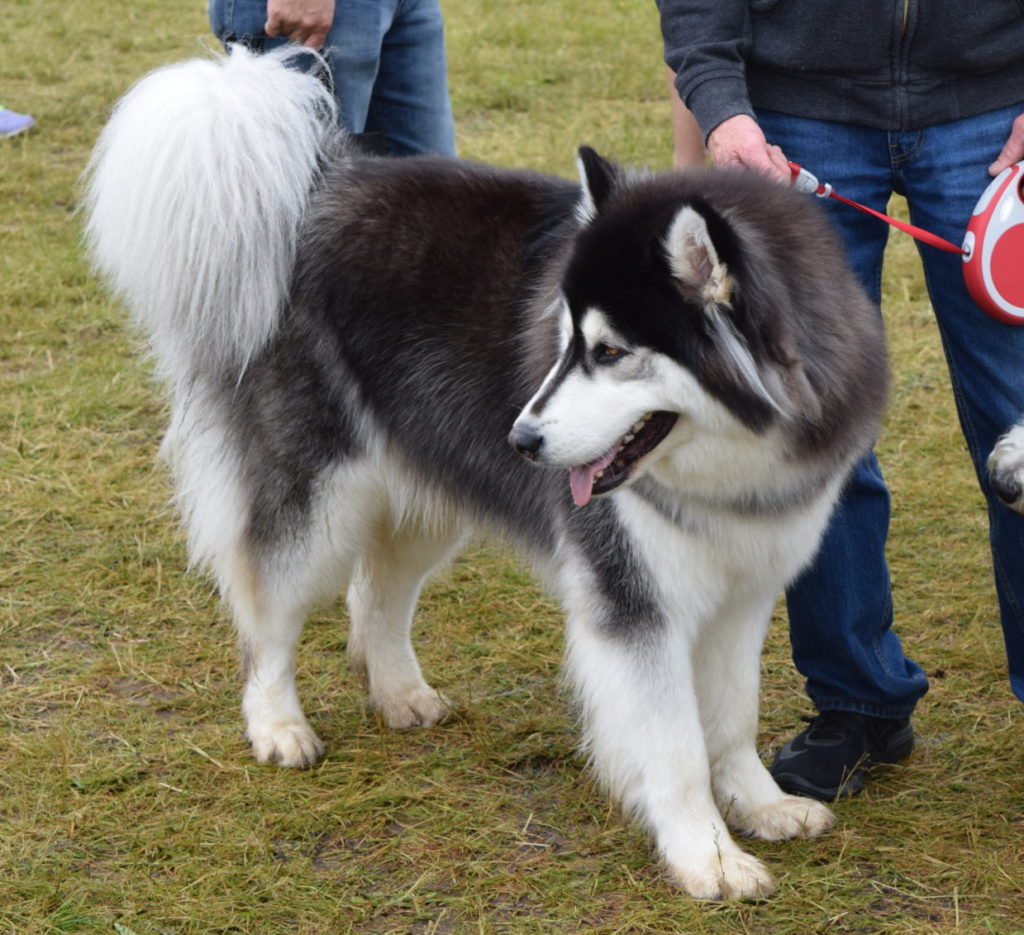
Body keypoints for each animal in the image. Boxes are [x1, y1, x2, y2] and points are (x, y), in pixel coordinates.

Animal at [83, 45, 888, 897]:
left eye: (609, 352)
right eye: (563, 341)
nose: (522, 439)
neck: (730, 463)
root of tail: (318, 182)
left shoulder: (744, 591)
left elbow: (731, 717)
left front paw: (760, 804)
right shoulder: (635, 600)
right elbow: (673, 744)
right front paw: (706, 854)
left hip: (429, 480)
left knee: (376, 592)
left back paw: (400, 693)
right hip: (319, 498)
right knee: (268, 609)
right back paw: (277, 723)